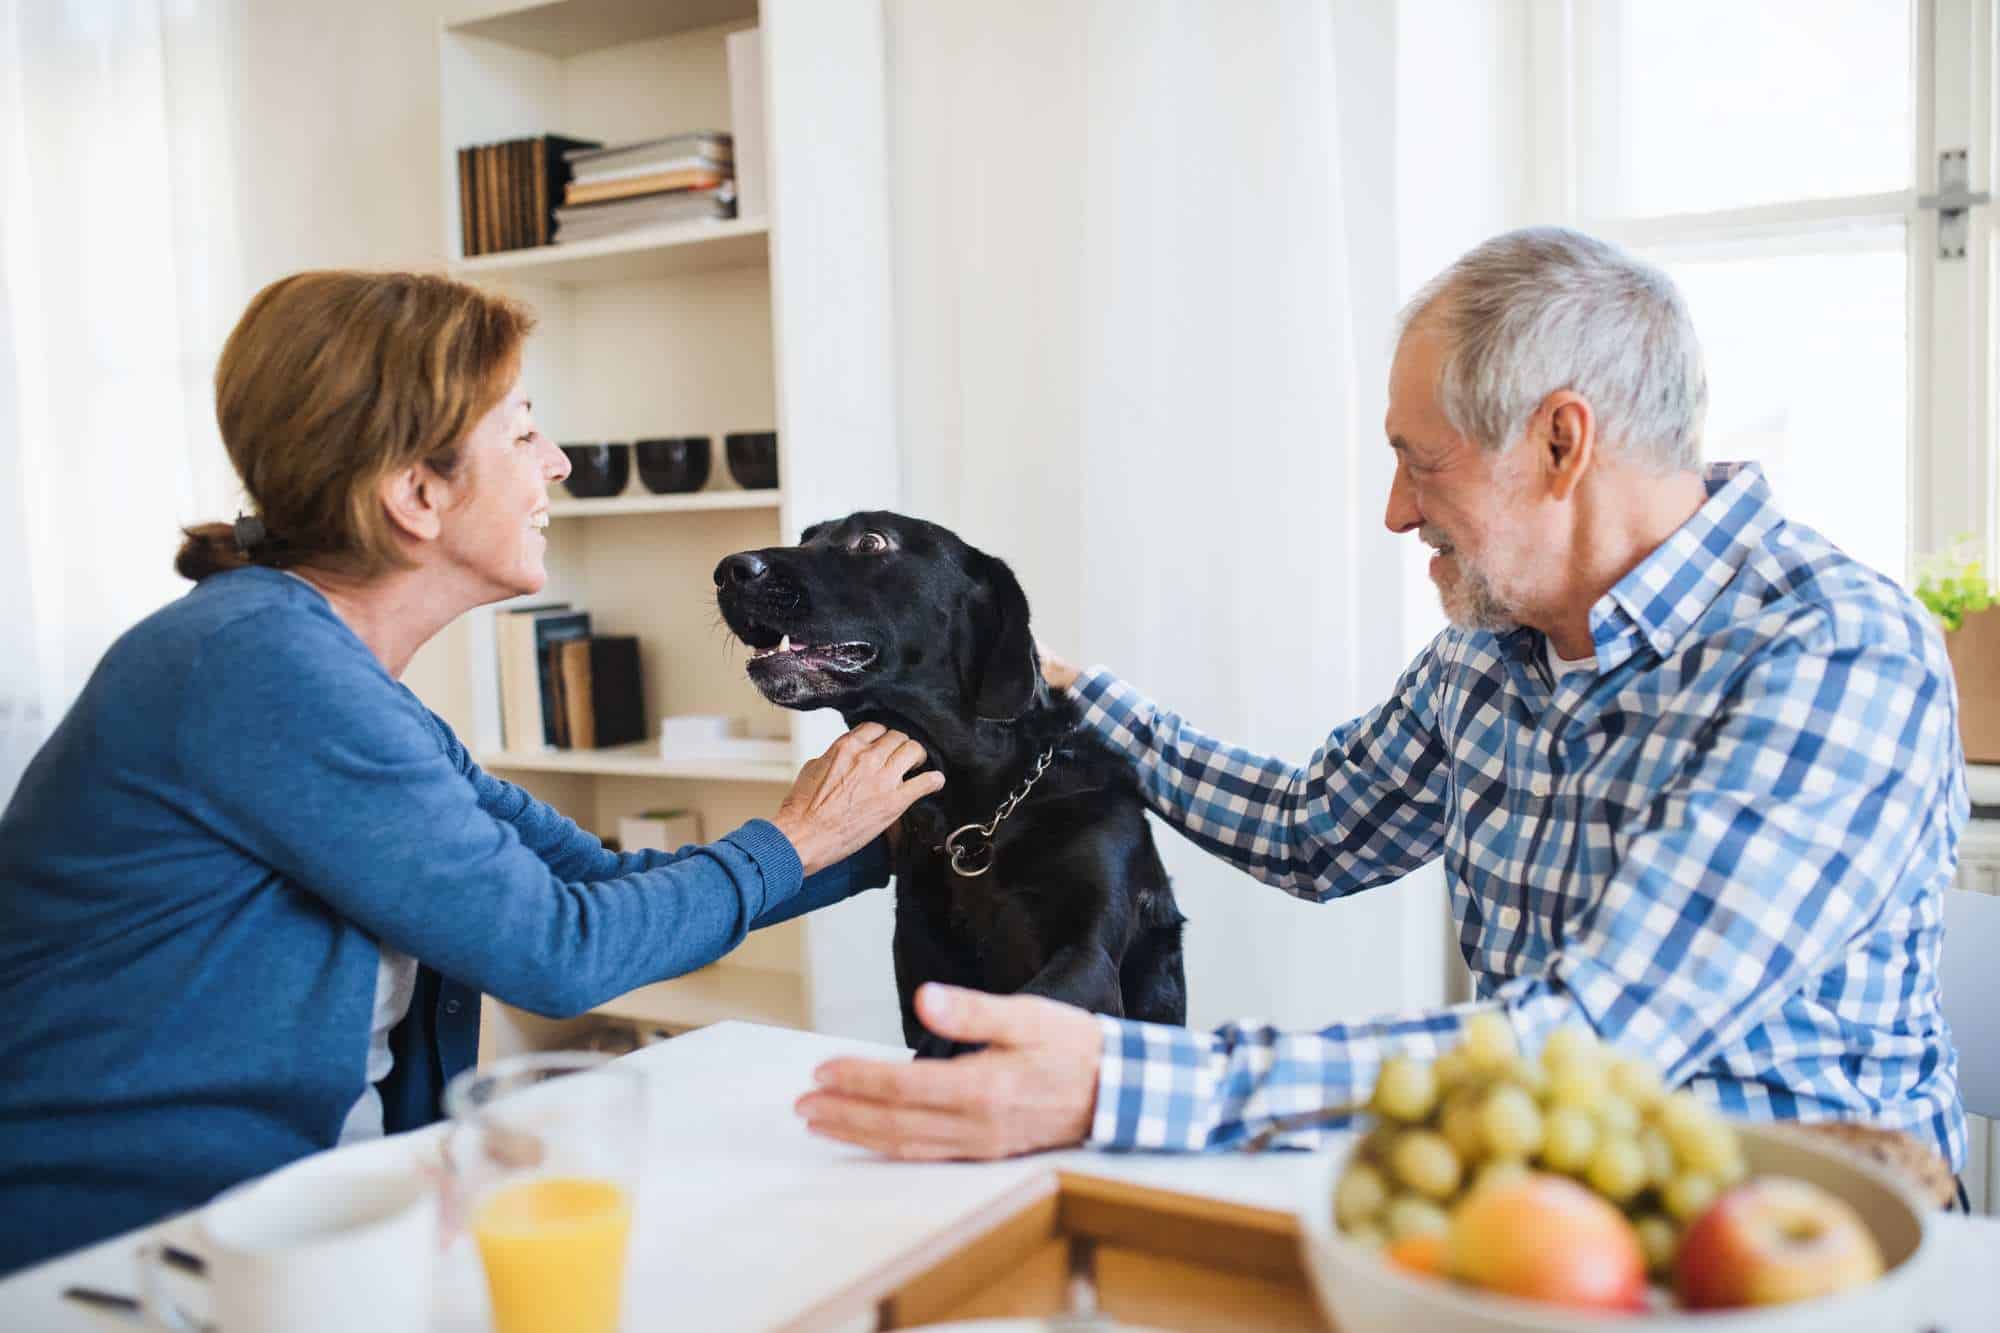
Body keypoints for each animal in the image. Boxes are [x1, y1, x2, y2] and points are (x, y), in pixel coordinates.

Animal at [720, 508, 1184, 1048]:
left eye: (870, 542)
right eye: (805, 538)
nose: (728, 570)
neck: (983, 807)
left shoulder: (1088, 958)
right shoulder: (923, 963)